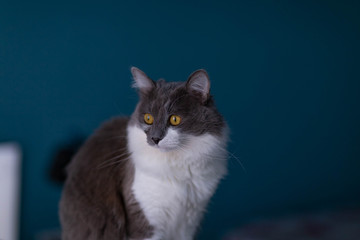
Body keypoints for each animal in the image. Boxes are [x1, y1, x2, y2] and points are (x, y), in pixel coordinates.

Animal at [58, 67, 228, 240]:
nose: (155, 138)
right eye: (148, 118)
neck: (178, 165)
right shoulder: (145, 220)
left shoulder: (188, 223)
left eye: (175, 119)